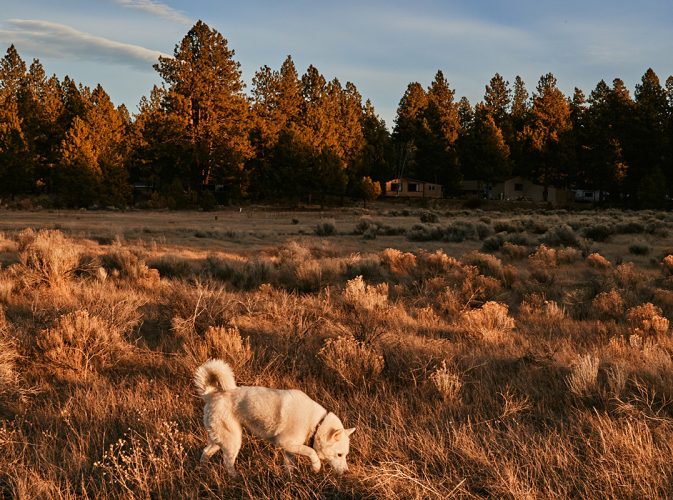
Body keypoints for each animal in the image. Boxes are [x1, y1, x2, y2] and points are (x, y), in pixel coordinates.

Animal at [193, 358, 354, 474]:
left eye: (345, 455)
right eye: (340, 455)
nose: (346, 472)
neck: (316, 424)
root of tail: (210, 395)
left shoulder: (289, 450)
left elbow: (290, 468)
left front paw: (290, 482)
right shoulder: (286, 444)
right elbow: (312, 451)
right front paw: (316, 466)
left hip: (220, 439)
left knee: (206, 451)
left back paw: (202, 470)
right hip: (232, 441)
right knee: (227, 463)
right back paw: (235, 479)